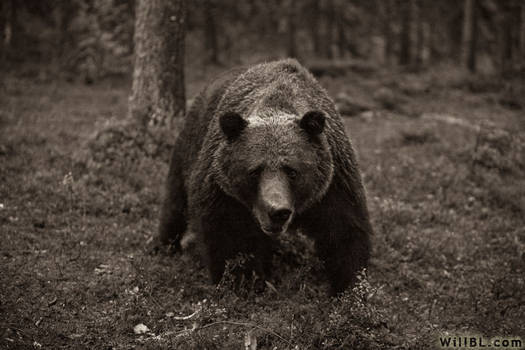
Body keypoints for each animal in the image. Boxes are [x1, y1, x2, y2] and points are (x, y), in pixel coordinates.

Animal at [158, 58, 370, 294]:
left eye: (292, 171)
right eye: (254, 171)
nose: (277, 211)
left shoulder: (334, 183)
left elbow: (345, 232)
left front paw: (350, 288)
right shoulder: (222, 190)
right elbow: (228, 236)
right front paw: (242, 281)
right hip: (189, 144)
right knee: (175, 201)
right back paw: (165, 246)